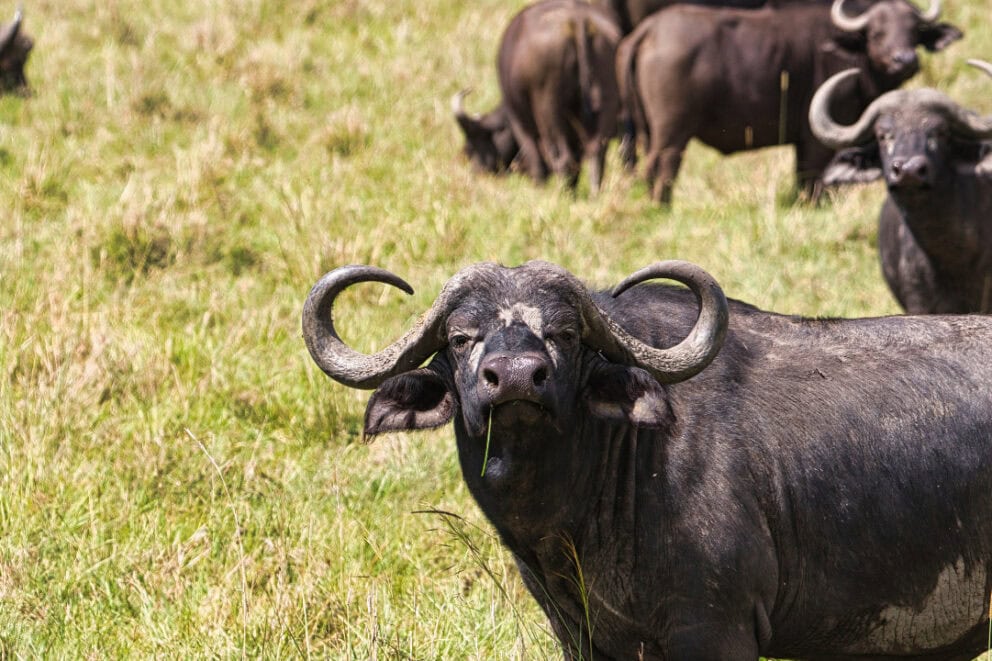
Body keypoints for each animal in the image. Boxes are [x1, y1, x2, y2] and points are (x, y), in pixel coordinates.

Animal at [453, 0, 622, 195]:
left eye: (471, 147)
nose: (477, 173)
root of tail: (577, 21)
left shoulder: (520, 123)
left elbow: (536, 159)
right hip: (605, 102)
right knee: (596, 152)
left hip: (548, 111)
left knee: (563, 158)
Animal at [616, 0, 962, 204]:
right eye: (877, 33)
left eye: (914, 31)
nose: (905, 60)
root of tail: (648, 30)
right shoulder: (816, 141)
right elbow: (811, 181)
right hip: (672, 135)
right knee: (662, 169)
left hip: (646, 131)